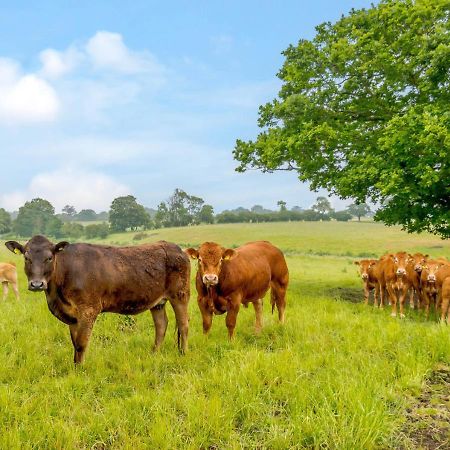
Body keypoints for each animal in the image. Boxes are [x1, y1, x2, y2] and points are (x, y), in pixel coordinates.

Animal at [6, 237, 191, 364]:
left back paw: (183, 353)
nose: (37, 284)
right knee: (161, 325)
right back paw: (154, 353)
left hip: (181, 294)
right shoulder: (73, 316)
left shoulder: (88, 310)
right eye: (26, 258)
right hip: (157, 302)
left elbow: (81, 343)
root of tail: (176, 248)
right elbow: (75, 343)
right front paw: (75, 366)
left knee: (183, 324)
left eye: (49, 258)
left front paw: (80, 370)